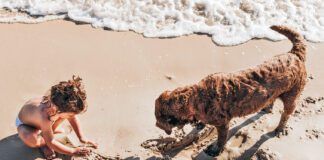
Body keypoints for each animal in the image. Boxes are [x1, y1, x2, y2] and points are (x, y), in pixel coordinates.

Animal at [154, 25, 306, 157]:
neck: (197, 97)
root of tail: (295, 55)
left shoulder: (223, 123)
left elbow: (221, 139)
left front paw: (215, 150)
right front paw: (200, 124)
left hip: (292, 96)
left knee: (286, 114)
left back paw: (279, 129)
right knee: (272, 99)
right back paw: (266, 108)